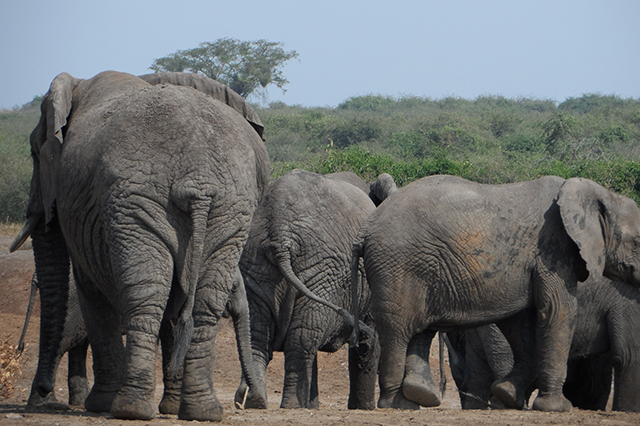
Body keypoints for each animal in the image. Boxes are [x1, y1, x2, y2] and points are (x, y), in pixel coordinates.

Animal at [10, 71, 270, 422]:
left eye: (35, 153)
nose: (42, 391)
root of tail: (198, 181)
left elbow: (91, 288)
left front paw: (102, 405)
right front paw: (167, 408)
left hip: (147, 203)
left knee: (148, 294)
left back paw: (133, 409)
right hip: (214, 208)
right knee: (196, 302)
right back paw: (195, 411)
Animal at [235, 169, 396, 410]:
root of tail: (280, 235)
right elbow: (367, 344)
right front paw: (365, 408)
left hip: (259, 265)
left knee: (263, 335)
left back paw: (257, 401)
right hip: (322, 270)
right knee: (302, 338)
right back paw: (292, 406)